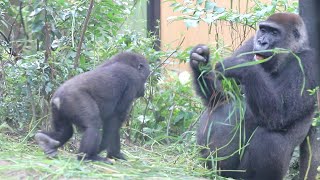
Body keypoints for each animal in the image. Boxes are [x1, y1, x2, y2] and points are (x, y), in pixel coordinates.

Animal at [190, 13, 318, 180]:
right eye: (263, 30)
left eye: (274, 33)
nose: (262, 41)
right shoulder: (250, 43)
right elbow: (219, 97)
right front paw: (199, 59)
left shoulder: (310, 62)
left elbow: (280, 113)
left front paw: (241, 66)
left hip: (240, 174)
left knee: (271, 138)